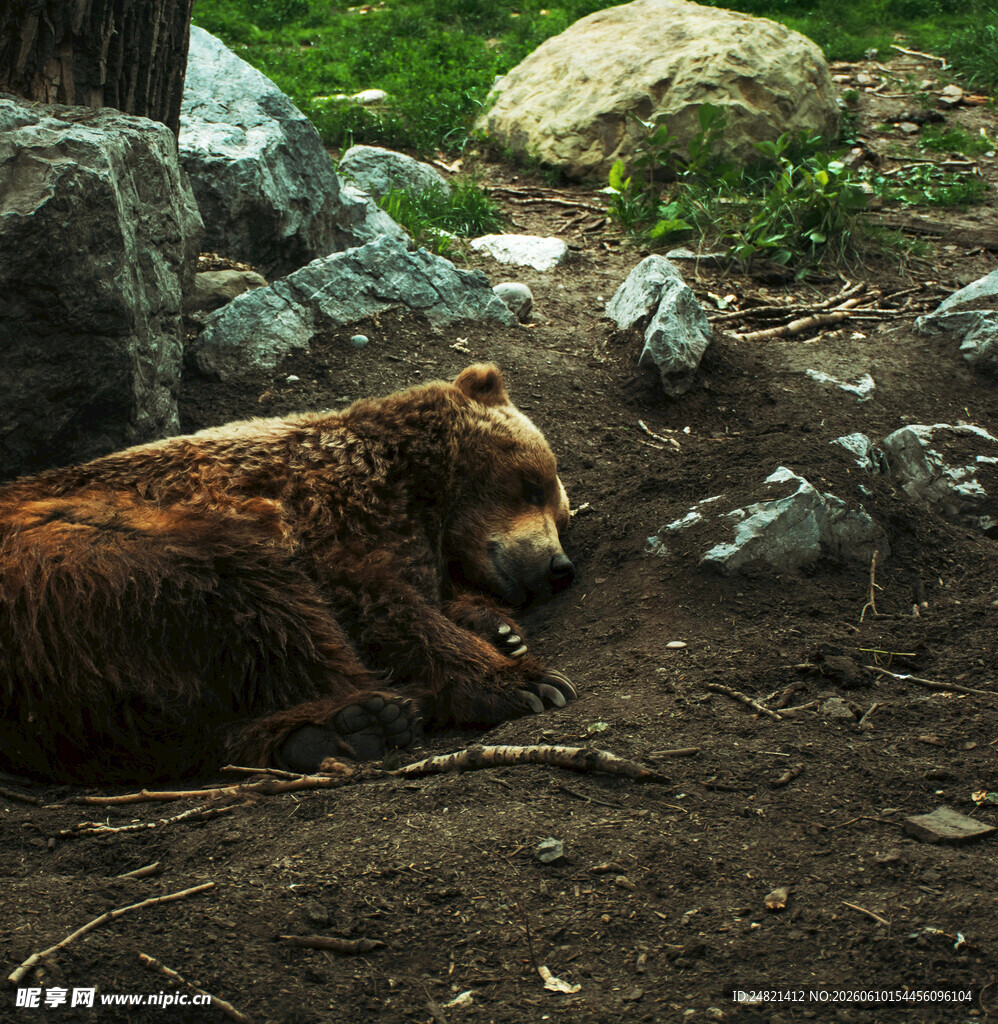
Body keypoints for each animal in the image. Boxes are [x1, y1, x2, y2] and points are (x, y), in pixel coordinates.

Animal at [0, 365, 576, 783]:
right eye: (531, 485)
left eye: (563, 516)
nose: (559, 567)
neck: (421, 490)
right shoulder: (332, 512)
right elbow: (380, 604)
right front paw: (525, 680)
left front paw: (499, 630)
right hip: (102, 552)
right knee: (259, 601)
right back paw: (365, 715)